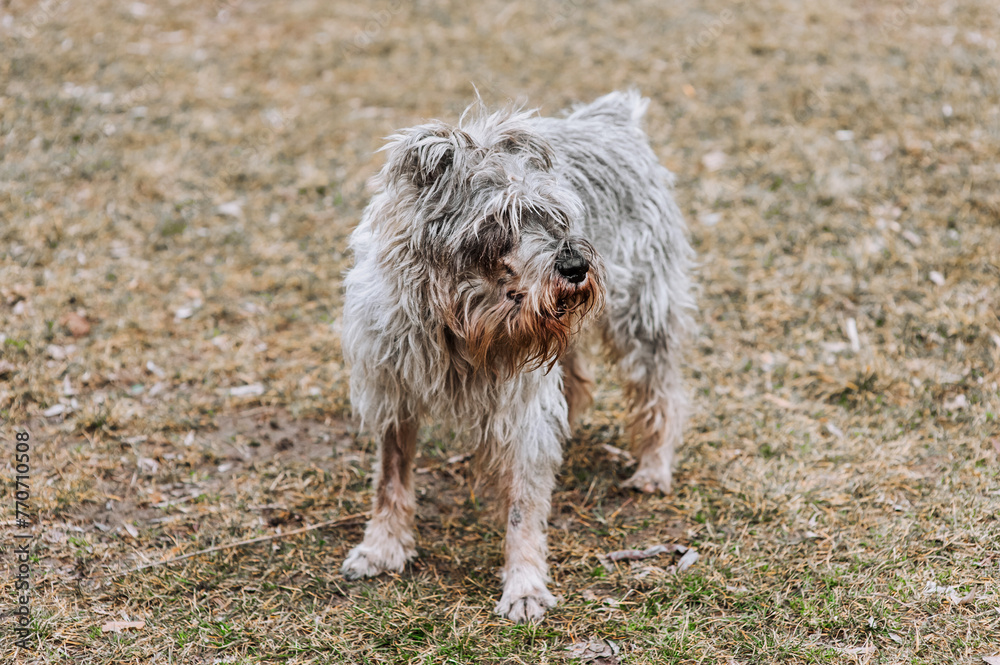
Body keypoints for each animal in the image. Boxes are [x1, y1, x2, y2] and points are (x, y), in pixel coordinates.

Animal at [340, 91, 692, 620]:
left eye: (557, 215)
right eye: (500, 220)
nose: (576, 266)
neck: (460, 319)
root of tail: (615, 119)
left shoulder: (523, 408)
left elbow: (524, 505)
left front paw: (524, 584)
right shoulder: (393, 391)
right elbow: (390, 478)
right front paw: (382, 547)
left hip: (642, 319)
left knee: (659, 394)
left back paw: (653, 467)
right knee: (579, 384)